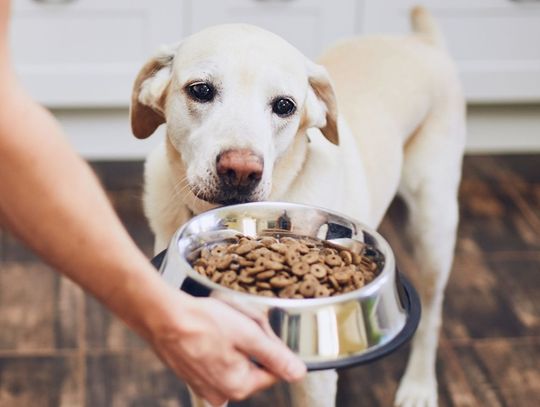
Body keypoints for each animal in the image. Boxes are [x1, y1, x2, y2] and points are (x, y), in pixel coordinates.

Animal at [130, 6, 464, 407]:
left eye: (284, 106)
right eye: (201, 90)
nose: (240, 171)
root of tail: (421, 41)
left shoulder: (313, 381)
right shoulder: (204, 363)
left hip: (433, 226)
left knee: (432, 314)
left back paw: (419, 385)